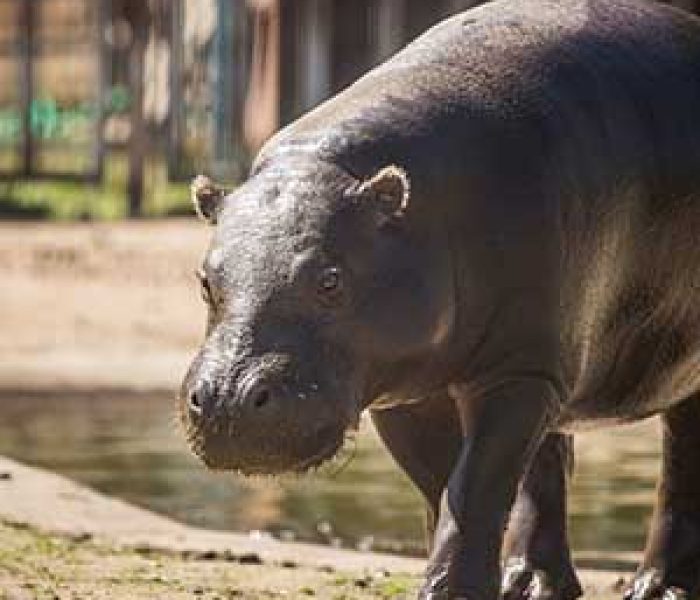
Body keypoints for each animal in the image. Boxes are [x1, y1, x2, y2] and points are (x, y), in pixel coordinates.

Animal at [176, 2, 700, 596]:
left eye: (330, 279)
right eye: (204, 280)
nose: (227, 401)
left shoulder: (516, 373)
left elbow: (473, 488)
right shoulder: (408, 394)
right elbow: (444, 486)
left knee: (681, 464)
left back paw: (660, 586)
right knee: (548, 465)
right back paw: (532, 583)